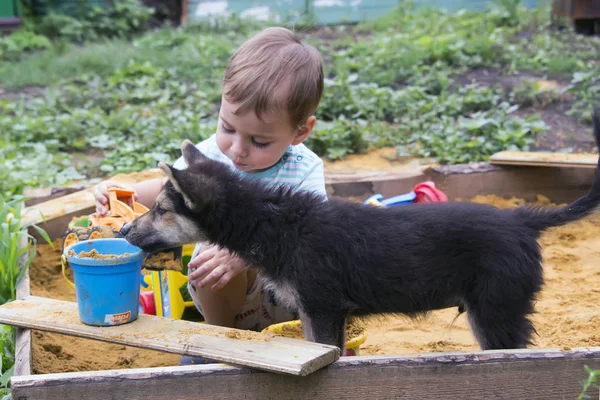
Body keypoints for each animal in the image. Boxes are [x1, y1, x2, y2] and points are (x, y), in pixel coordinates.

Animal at [120, 109, 600, 354]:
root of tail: (522, 219)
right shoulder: (315, 313)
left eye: (161, 210)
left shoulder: (323, 308)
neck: (273, 221)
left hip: (497, 311)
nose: (124, 228)